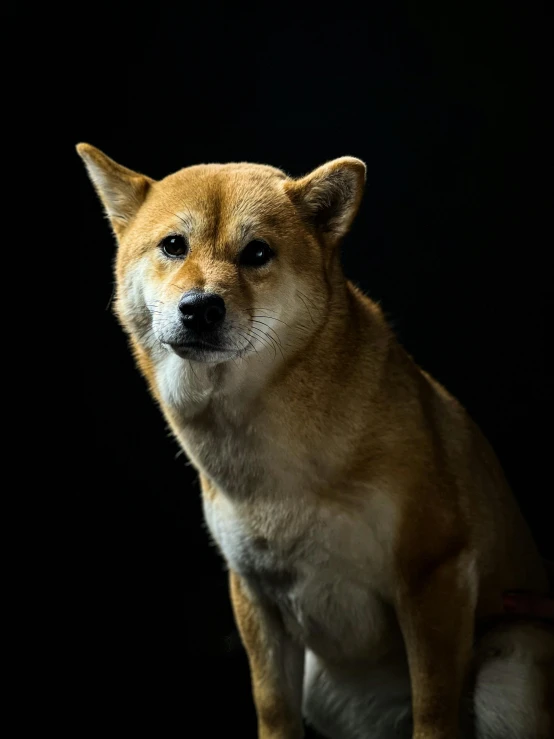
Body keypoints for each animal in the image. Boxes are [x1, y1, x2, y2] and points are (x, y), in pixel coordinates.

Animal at [78, 142, 552, 736]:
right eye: (173, 245)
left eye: (257, 252)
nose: (200, 307)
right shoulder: (254, 597)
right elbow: (273, 710)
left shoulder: (434, 575)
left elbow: (434, 711)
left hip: (515, 653)